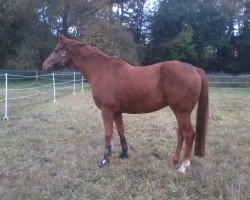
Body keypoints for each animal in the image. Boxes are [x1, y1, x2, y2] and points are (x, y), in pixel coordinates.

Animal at [43, 34, 209, 172]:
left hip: (182, 112)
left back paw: (183, 166)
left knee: (188, 134)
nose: (44, 65)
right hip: (179, 112)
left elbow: (108, 134)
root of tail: (195, 69)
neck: (102, 71)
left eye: (56, 50)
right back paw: (174, 161)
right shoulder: (117, 112)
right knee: (181, 134)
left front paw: (105, 160)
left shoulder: (106, 110)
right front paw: (124, 154)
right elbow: (121, 131)